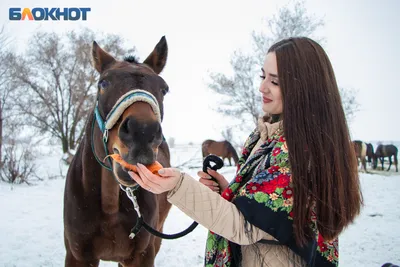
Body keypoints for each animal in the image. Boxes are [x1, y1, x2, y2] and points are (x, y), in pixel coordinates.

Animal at [63, 36, 172, 266]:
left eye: (164, 89)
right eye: (103, 83)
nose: (142, 131)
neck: (110, 205)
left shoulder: (142, 255)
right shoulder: (78, 256)